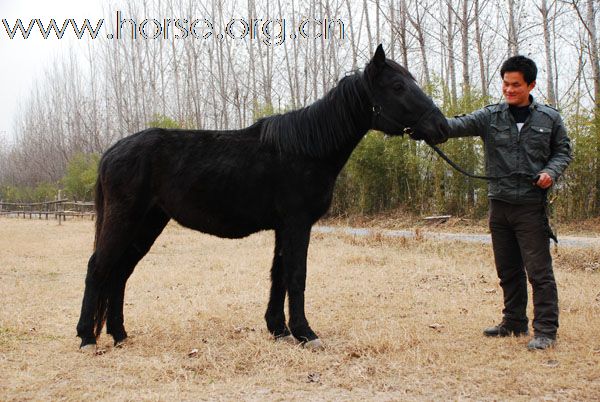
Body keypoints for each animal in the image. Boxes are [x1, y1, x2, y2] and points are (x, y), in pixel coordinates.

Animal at [76, 44, 450, 352]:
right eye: (398, 86)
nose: (443, 127)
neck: (307, 148)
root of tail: (112, 151)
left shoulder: (284, 227)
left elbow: (279, 274)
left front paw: (279, 330)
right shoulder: (297, 223)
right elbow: (296, 275)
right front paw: (306, 333)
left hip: (148, 223)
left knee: (120, 271)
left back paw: (119, 335)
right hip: (125, 219)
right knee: (98, 267)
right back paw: (87, 338)